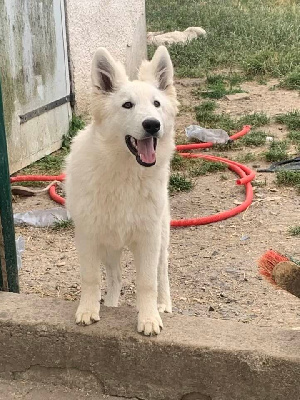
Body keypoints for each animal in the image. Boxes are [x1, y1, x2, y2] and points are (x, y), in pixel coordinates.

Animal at [65, 45, 178, 336]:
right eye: (127, 105)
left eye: (157, 104)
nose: (152, 125)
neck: (125, 173)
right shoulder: (88, 236)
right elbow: (91, 278)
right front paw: (88, 310)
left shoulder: (148, 238)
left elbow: (147, 282)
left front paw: (149, 318)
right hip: (109, 245)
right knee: (114, 277)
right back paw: (111, 305)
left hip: (161, 237)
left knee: (163, 273)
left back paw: (164, 305)